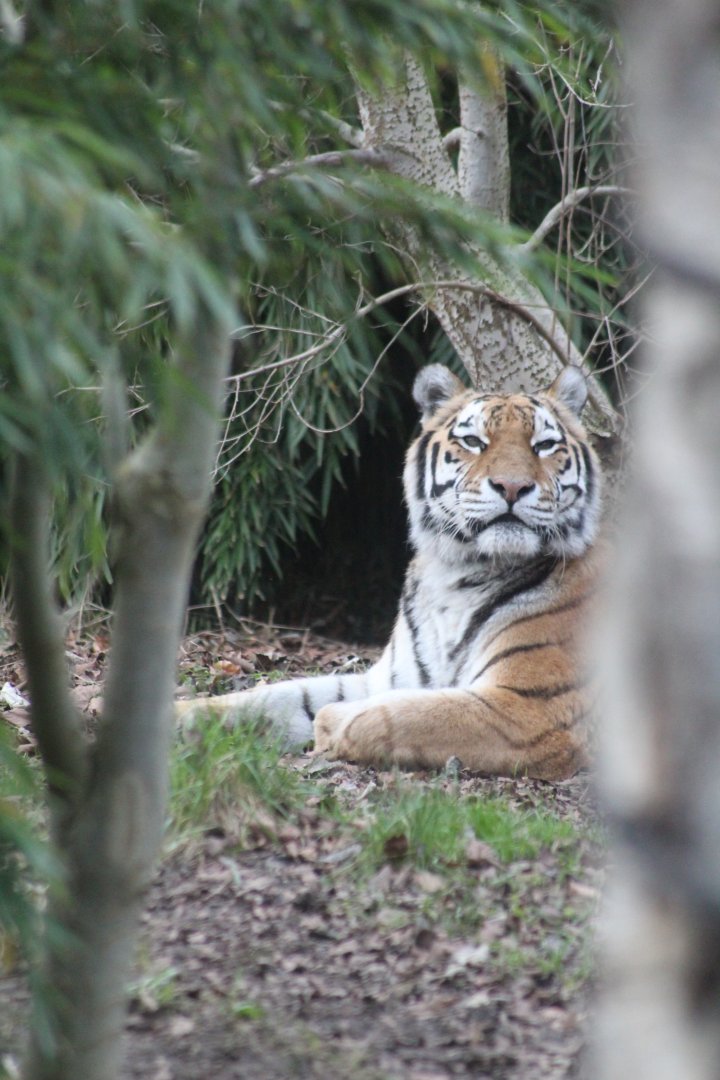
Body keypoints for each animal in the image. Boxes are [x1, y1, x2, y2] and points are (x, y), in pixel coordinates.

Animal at [177, 363, 603, 781]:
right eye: (473, 441)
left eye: (544, 446)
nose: (512, 486)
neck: (460, 573)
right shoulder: (390, 678)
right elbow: (275, 696)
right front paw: (180, 717)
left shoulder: (529, 707)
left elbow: (393, 715)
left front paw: (329, 726)